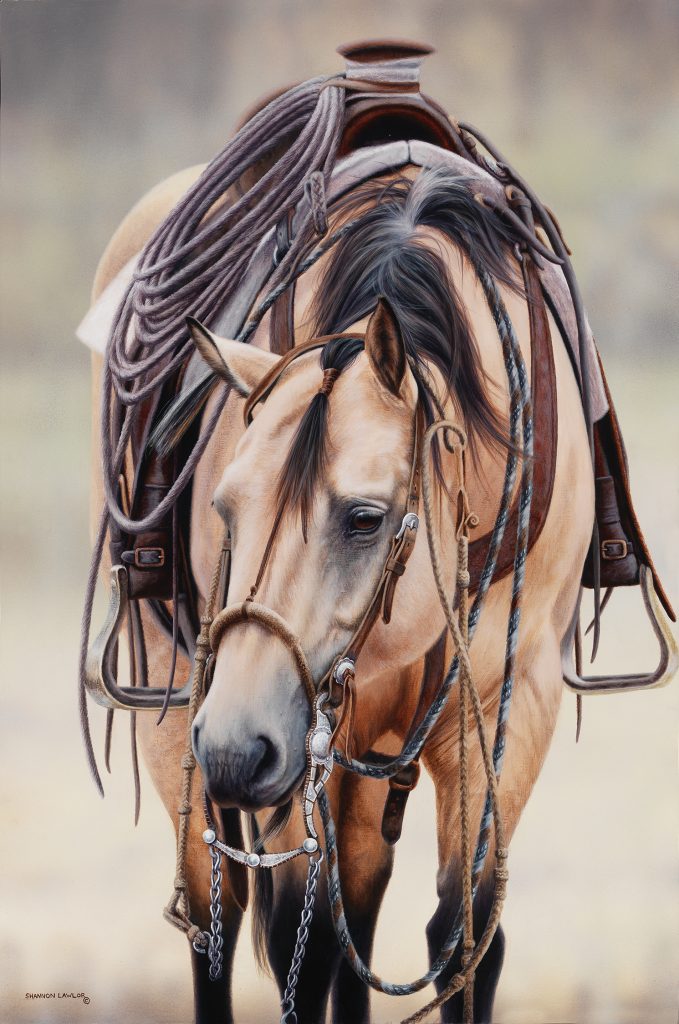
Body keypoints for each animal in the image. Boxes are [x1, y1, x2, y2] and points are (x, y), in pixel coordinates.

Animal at [78, 39, 675, 1024]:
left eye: (363, 518)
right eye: (224, 509)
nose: (235, 748)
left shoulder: (508, 704)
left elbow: (463, 935)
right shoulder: (295, 729)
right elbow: (299, 939)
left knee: (350, 906)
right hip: (184, 704)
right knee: (223, 921)